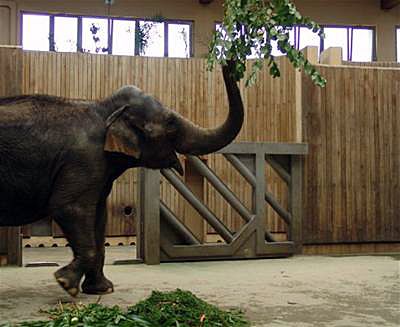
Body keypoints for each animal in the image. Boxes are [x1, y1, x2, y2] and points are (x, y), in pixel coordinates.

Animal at [0, 61, 244, 298]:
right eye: (170, 125)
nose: (228, 60)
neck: (104, 109)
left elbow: (99, 217)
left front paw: (102, 289)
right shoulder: (84, 158)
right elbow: (69, 208)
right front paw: (65, 283)